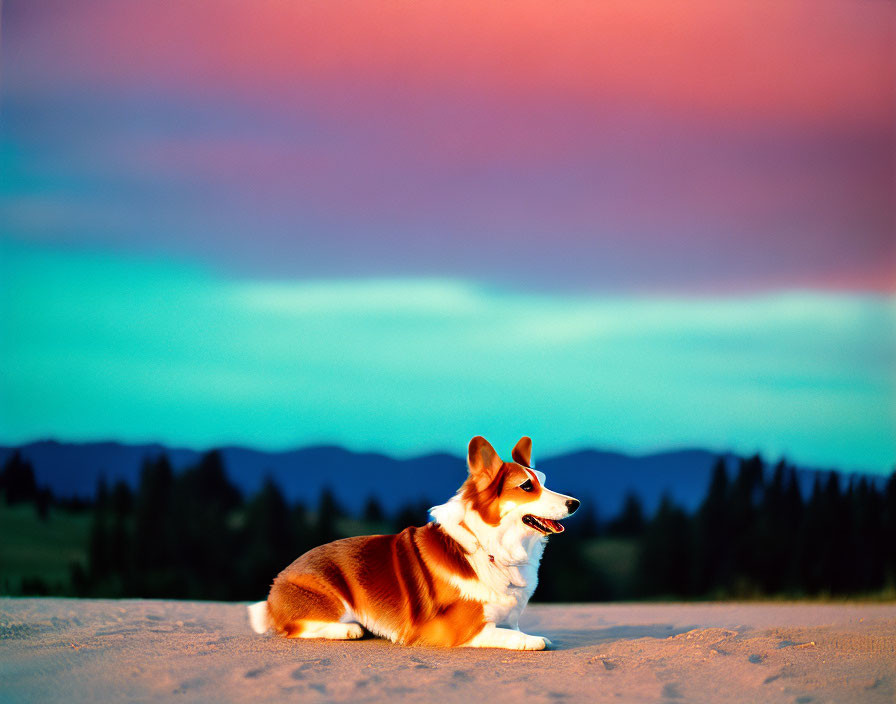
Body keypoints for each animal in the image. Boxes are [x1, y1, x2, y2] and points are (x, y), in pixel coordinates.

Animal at [245, 434, 580, 648]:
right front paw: (533, 640)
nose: (575, 503)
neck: (491, 547)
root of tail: (275, 586)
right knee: (294, 628)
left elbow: (514, 626)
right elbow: (517, 637)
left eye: (544, 481)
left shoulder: (508, 617)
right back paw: (349, 629)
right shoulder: (461, 629)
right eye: (527, 486)